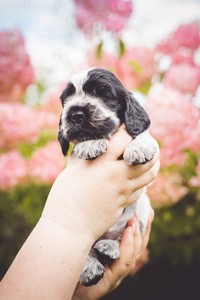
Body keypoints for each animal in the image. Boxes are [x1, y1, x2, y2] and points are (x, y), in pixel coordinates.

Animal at [58, 67, 159, 286]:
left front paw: (139, 148)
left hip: (142, 210)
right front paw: (89, 144)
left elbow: (143, 134)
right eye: (66, 100)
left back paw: (109, 248)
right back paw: (91, 269)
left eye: (103, 94)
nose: (75, 114)